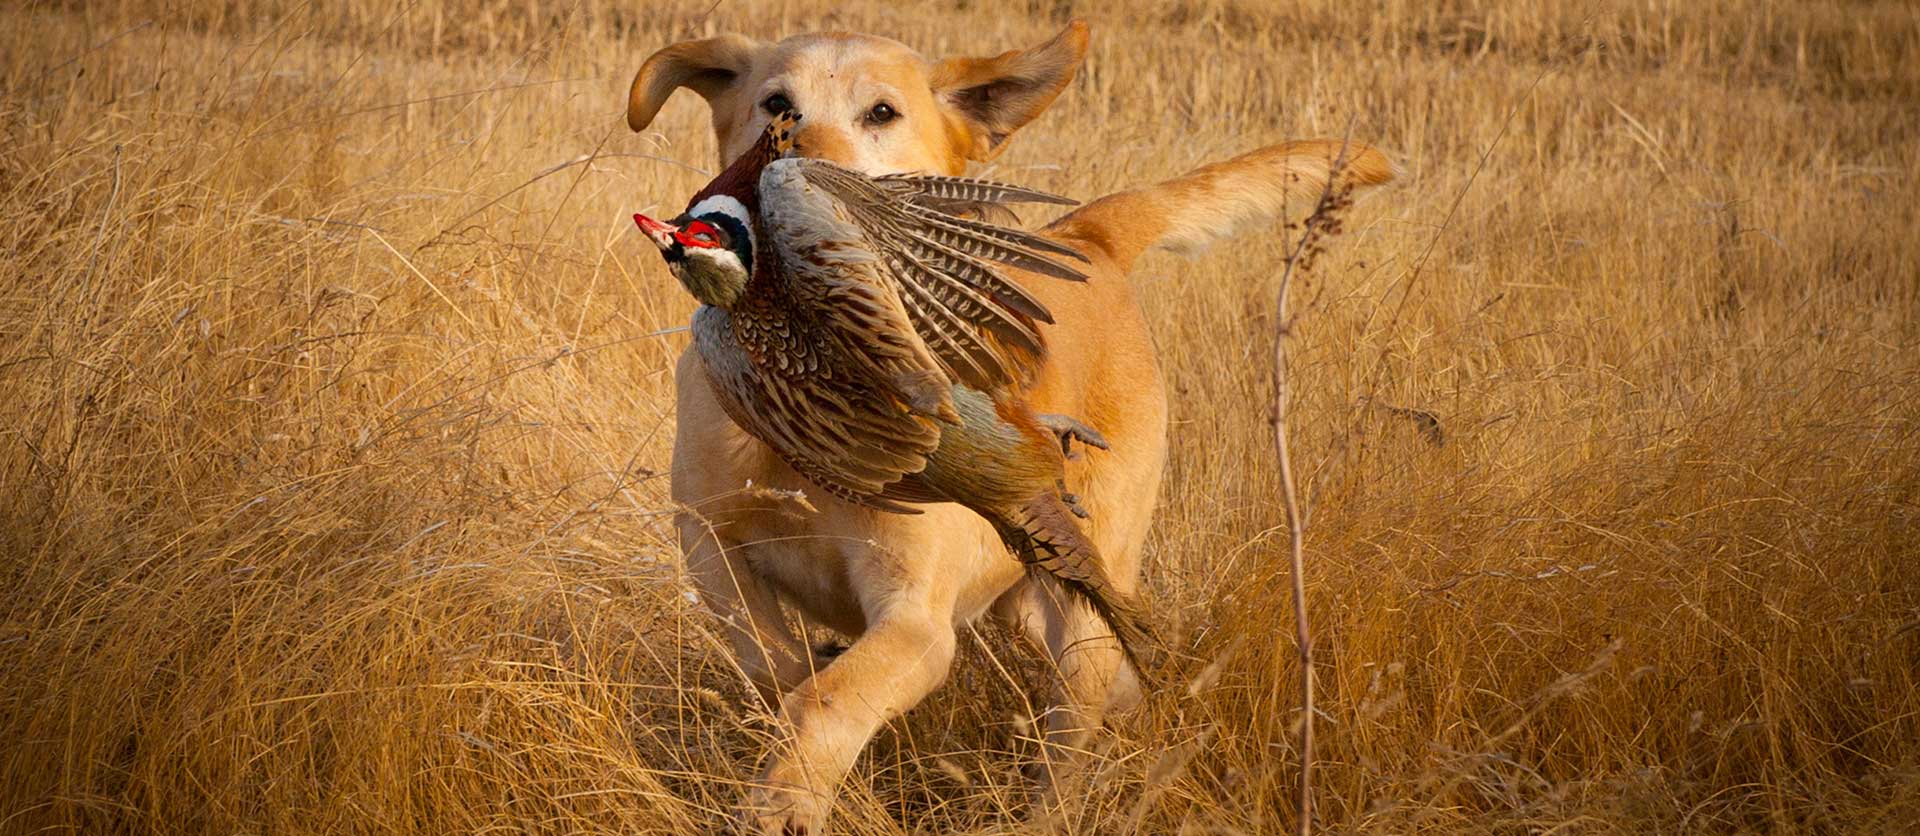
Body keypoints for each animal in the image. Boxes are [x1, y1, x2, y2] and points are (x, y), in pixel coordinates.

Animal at [629, 21, 1397, 836]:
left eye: (882, 113)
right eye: (776, 102)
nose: (801, 171)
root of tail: (1089, 238)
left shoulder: (919, 622)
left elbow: (823, 698)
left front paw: (786, 796)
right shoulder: (706, 537)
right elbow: (769, 660)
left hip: (1084, 607)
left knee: (1072, 734)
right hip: (1030, 596)